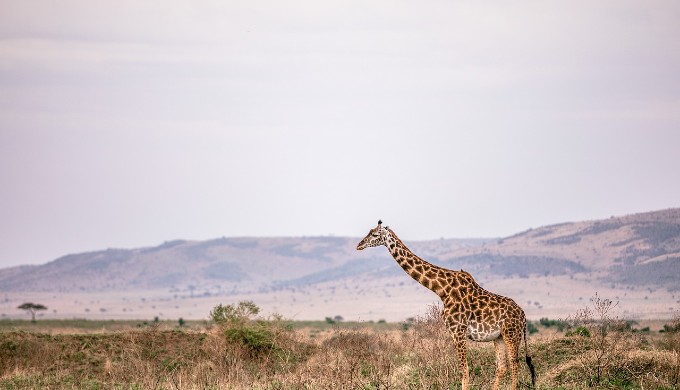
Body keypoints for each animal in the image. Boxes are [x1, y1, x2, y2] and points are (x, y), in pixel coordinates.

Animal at [356, 221, 536, 388]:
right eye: (369, 232)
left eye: (374, 235)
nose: (359, 245)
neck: (442, 289)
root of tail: (524, 316)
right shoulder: (456, 332)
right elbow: (465, 369)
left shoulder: (458, 331)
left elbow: (464, 370)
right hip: (498, 337)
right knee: (502, 366)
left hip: (511, 334)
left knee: (515, 363)